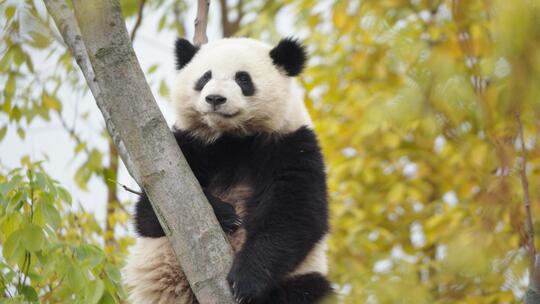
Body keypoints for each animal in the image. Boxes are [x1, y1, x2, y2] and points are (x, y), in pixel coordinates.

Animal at [124, 37, 332, 304]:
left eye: (243, 79)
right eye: (205, 77)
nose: (215, 98)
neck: (233, 137)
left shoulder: (291, 145)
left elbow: (295, 215)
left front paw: (246, 281)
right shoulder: (185, 147)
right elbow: (150, 215)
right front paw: (226, 215)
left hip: (304, 276)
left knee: (305, 289)